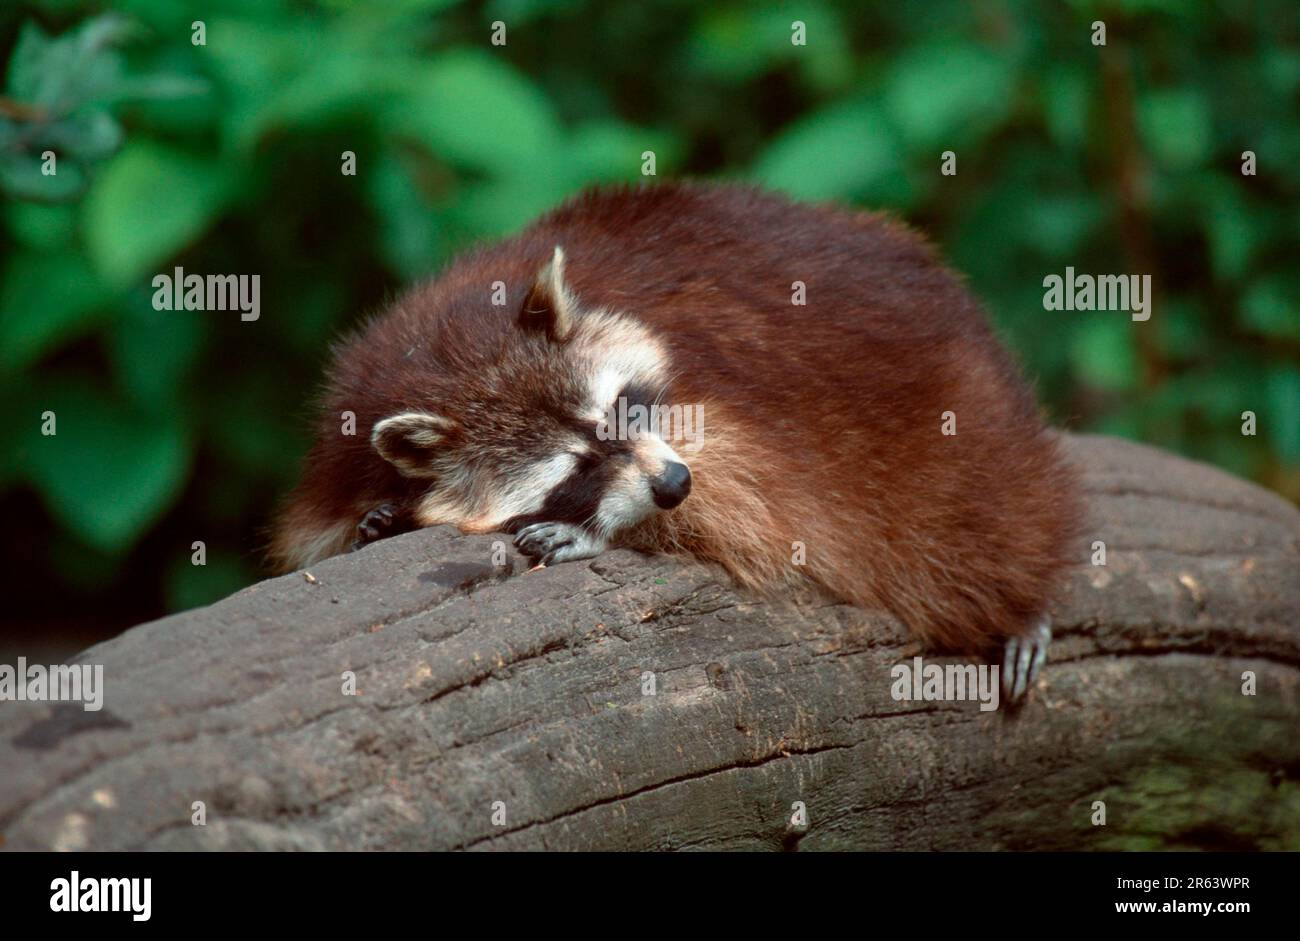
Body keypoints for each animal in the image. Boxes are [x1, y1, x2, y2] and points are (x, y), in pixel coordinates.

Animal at [270, 183, 1082, 701]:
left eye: (624, 413)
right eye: (578, 467)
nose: (670, 486)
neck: (451, 353)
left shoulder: (726, 407)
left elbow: (755, 505)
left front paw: (604, 530)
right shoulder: (347, 423)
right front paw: (384, 516)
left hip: (959, 414)